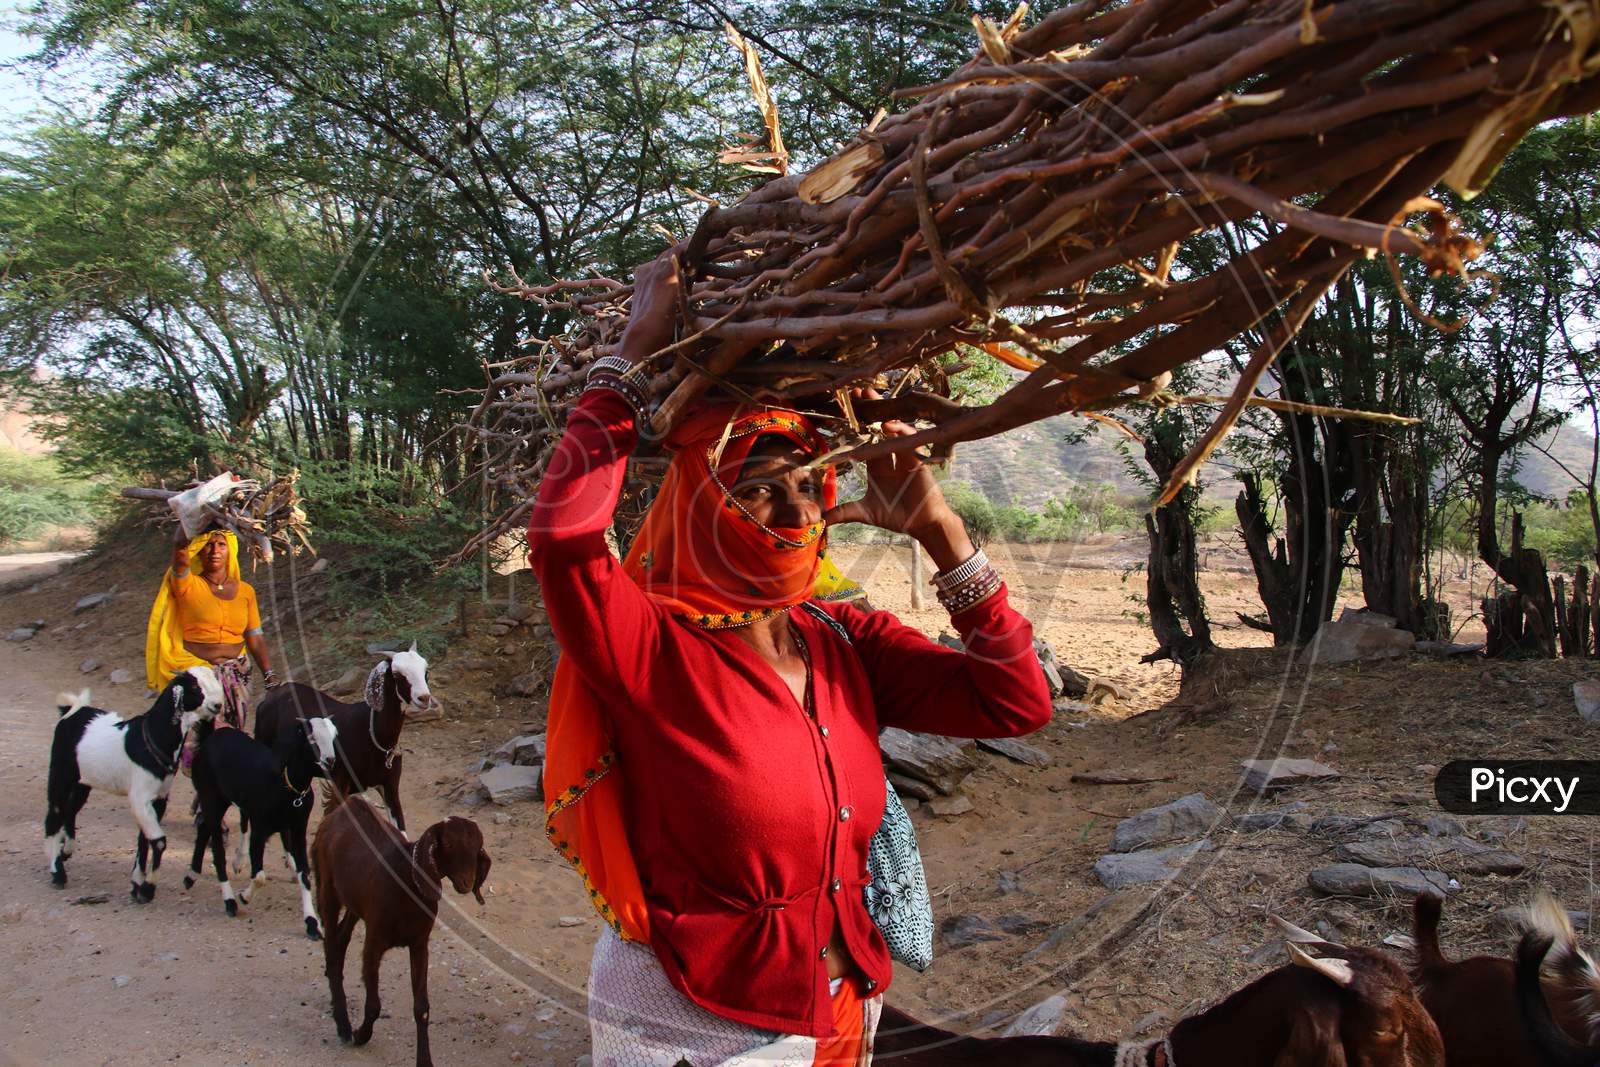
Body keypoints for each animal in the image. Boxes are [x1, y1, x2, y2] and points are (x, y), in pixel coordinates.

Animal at [41, 668, 222, 902]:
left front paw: (137, 884)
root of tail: (72, 711)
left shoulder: (159, 798)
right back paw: (57, 872)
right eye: (194, 687)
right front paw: (147, 889)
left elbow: (144, 840)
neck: (152, 738)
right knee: (54, 815)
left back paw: (66, 851)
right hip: (60, 775)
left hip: (83, 782)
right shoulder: (140, 797)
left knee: (70, 810)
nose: (218, 705)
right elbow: (159, 841)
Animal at [184, 713, 337, 940]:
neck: (287, 785)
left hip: (218, 800)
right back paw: (229, 901)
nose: (330, 762)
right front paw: (244, 897)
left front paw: (312, 924)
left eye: (334, 736)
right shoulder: (258, 829)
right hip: (211, 796)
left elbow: (304, 874)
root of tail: (209, 738)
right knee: (217, 849)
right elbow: (259, 876)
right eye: (311, 739)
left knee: (204, 828)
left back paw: (191, 875)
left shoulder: (298, 829)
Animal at [252, 643, 438, 831]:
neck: (372, 734)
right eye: (397, 674)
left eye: (426, 671)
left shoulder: (390, 788)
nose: (424, 698)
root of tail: (270, 697)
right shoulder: (341, 786)